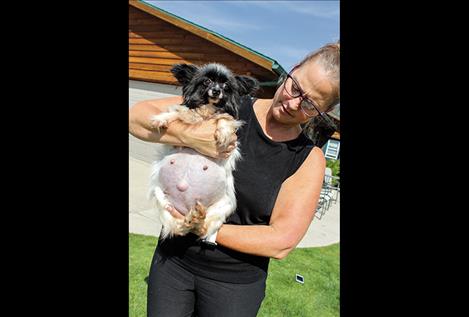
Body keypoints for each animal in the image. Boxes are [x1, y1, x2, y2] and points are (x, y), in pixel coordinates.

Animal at [148, 63, 258, 242]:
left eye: (226, 86)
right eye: (207, 82)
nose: (216, 91)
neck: (207, 110)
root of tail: (187, 210)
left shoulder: (228, 121)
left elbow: (224, 117)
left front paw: (223, 132)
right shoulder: (185, 115)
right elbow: (176, 112)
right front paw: (161, 119)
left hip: (223, 207)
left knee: (202, 229)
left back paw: (197, 218)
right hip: (162, 200)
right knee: (178, 228)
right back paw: (191, 219)